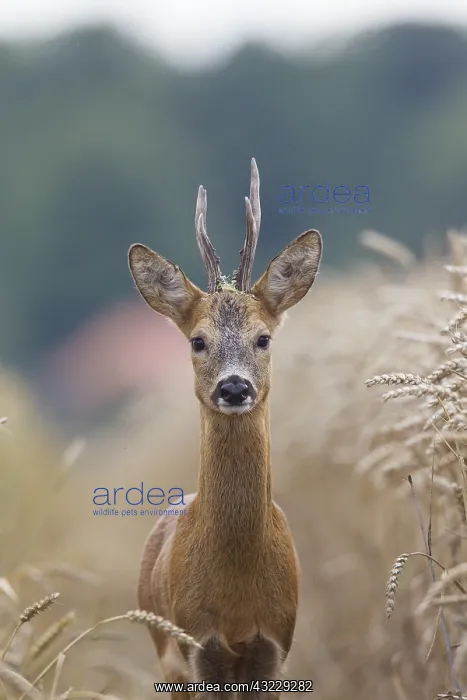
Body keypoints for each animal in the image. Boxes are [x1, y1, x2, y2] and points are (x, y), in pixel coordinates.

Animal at [129, 158, 322, 698]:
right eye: (197, 340)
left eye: (263, 338)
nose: (234, 387)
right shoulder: (199, 645)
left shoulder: (273, 645)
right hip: (165, 650)